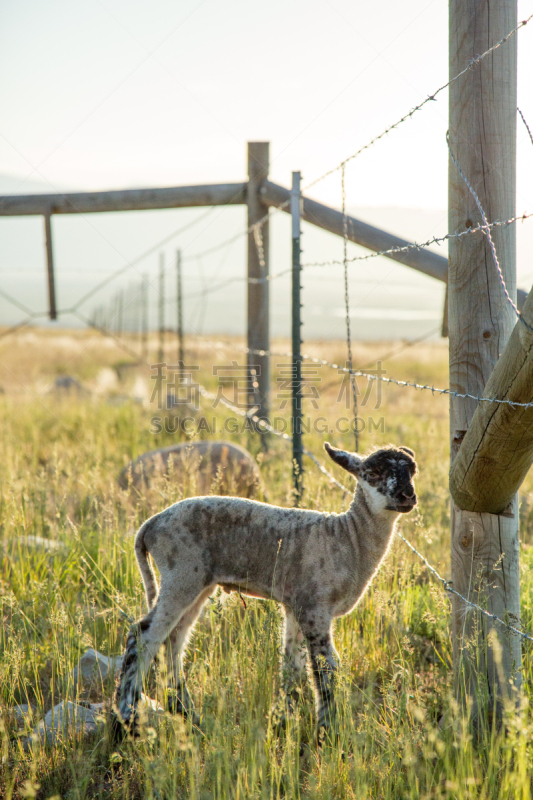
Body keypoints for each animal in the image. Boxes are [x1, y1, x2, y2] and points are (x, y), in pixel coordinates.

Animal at [114, 440, 418, 740]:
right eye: (373, 472)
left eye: (412, 470)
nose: (407, 495)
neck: (347, 538)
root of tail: (150, 525)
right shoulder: (315, 608)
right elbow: (325, 669)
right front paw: (326, 732)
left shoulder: (296, 606)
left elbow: (292, 667)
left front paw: (283, 722)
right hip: (181, 575)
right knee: (143, 636)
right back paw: (126, 718)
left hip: (199, 584)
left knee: (173, 642)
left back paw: (188, 715)